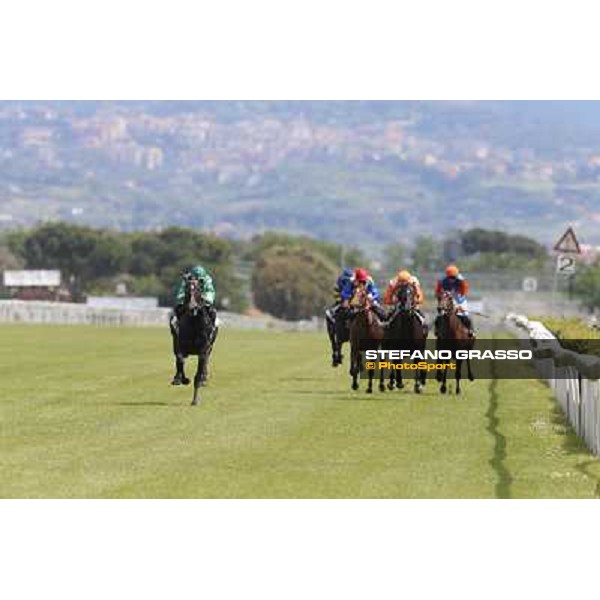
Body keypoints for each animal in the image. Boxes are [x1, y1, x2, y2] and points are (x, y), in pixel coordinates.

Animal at [169, 276, 218, 408]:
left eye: (198, 290)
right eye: (186, 289)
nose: (192, 308)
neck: (194, 323)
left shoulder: (203, 352)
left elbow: (198, 374)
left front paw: (195, 400)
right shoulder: (181, 347)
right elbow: (180, 360)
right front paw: (182, 379)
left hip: (210, 348)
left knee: (206, 363)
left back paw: (203, 379)